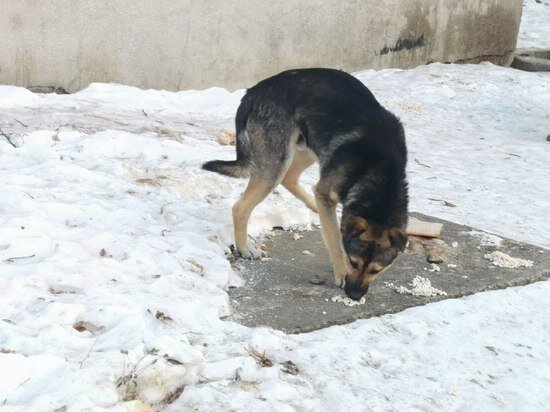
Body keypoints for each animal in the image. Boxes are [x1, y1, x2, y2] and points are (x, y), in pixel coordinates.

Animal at [204, 68, 410, 300]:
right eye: (353, 261)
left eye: (377, 270)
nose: (354, 295)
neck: (380, 173)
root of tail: (251, 93)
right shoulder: (326, 193)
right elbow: (334, 239)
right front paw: (340, 272)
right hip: (275, 164)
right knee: (241, 207)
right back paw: (245, 248)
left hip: (308, 146)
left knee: (291, 178)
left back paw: (313, 207)